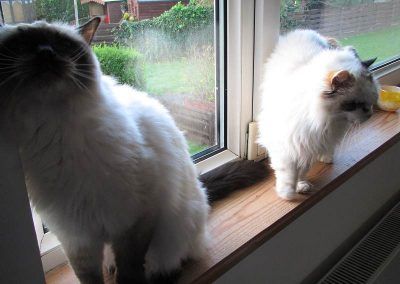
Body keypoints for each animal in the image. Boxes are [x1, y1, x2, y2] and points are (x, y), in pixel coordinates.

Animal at [0, 18, 268, 282]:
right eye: (24, 44)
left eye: (63, 44)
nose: (46, 52)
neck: (57, 129)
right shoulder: (77, 236)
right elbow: (89, 277)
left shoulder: (133, 219)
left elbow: (129, 269)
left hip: (168, 235)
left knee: (169, 261)